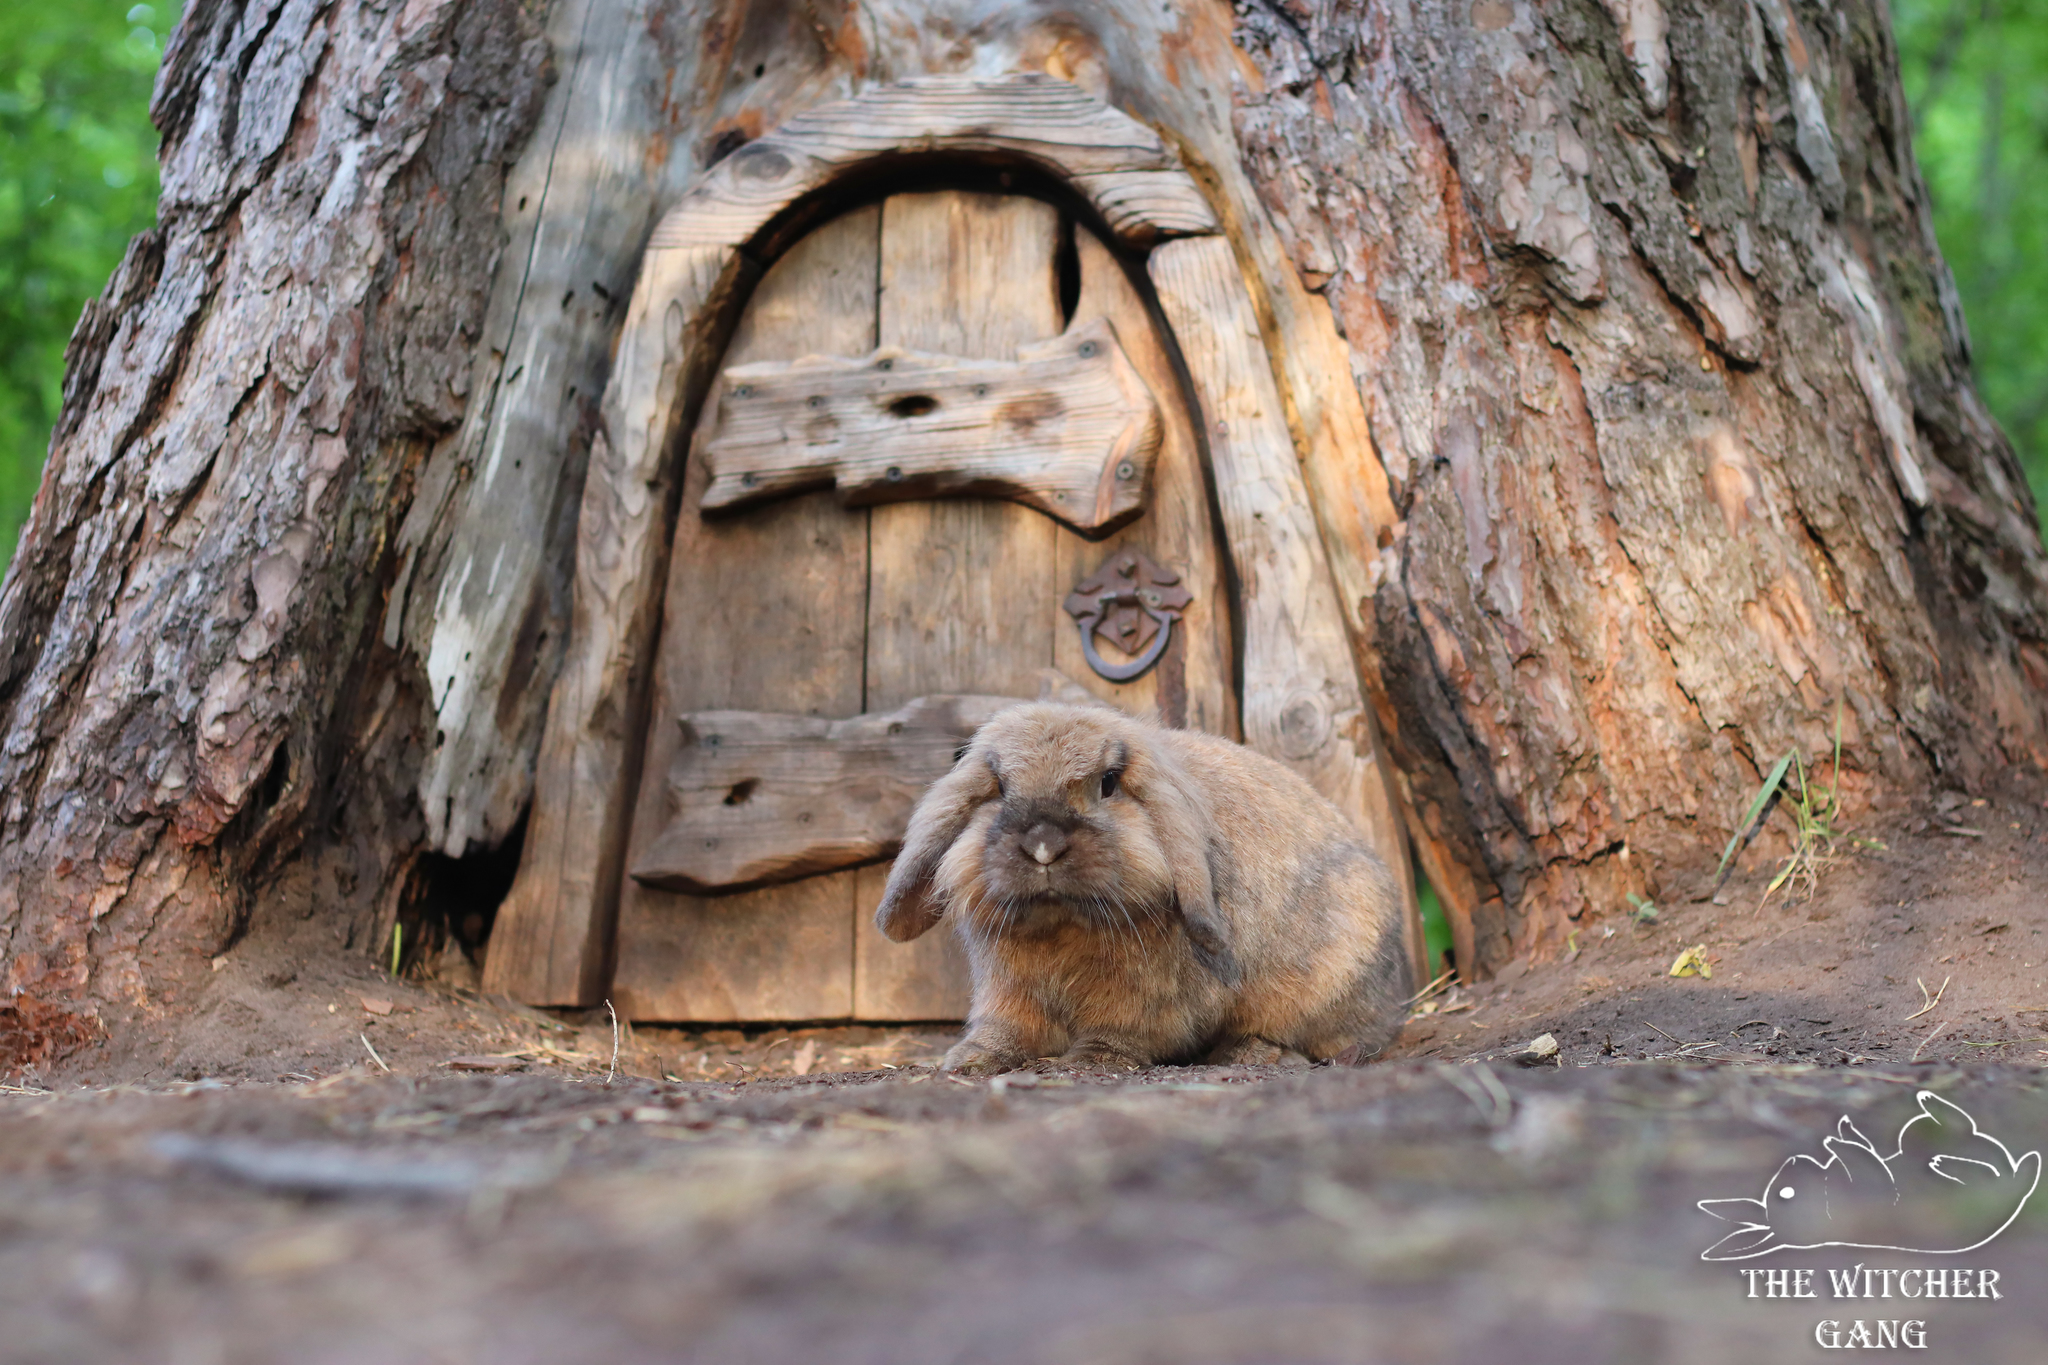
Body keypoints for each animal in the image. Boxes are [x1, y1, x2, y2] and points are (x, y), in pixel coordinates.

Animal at [872, 703, 1417, 1080]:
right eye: (1000, 787)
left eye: (1109, 782)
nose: (1044, 845)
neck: (1064, 925)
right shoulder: (1009, 990)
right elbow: (1005, 1029)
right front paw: (967, 1061)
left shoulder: (1146, 999)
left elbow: (1122, 1031)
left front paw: (1087, 1063)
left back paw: (1252, 1051)